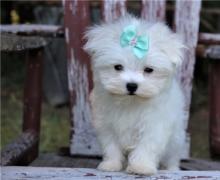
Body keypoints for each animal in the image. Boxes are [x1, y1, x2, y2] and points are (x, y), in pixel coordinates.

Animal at [84, 14, 186, 175]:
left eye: (149, 70)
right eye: (118, 67)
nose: (132, 85)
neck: (130, 102)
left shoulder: (153, 125)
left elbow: (146, 146)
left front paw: (141, 167)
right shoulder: (106, 125)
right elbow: (111, 146)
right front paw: (110, 165)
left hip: (175, 141)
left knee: (172, 158)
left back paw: (171, 169)